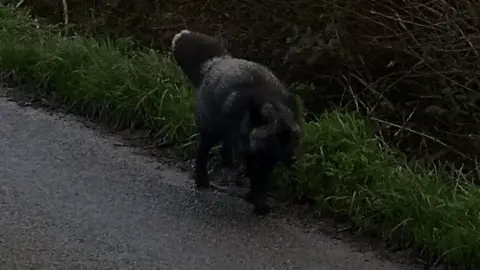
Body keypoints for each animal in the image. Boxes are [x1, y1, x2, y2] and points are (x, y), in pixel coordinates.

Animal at [171, 29, 302, 215]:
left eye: (294, 137)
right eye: (276, 137)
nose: (293, 159)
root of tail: (219, 61)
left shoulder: (266, 160)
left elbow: (261, 180)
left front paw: (254, 197)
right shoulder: (252, 154)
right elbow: (256, 179)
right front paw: (258, 203)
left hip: (227, 132)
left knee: (225, 149)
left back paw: (229, 165)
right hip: (212, 130)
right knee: (202, 151)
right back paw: (202, 180)